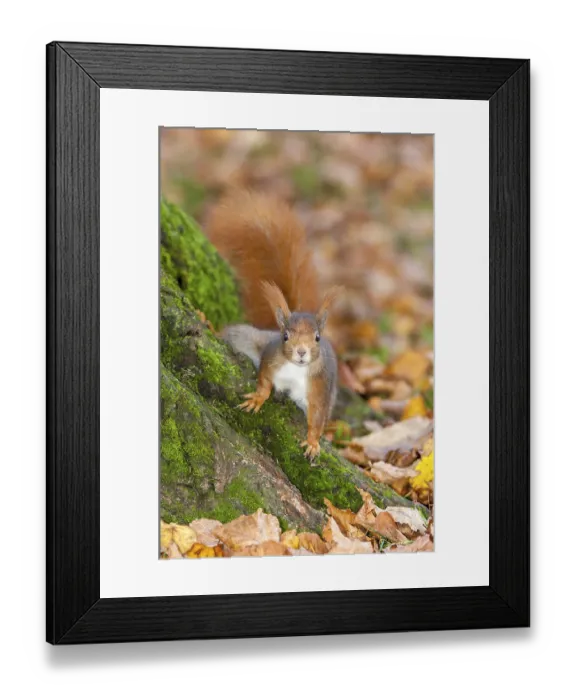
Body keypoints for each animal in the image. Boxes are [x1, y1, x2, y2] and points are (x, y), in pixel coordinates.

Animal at [206, 191, 342, 461]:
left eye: (317, 337)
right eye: (286, 336)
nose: (301, 352)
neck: (295, 370)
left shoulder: (320, 385)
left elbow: (318, 416)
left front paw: (313, 442)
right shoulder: (271, 358)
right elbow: (264, 381)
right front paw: (258, 398)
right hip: (250, 337)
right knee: (233, 333)